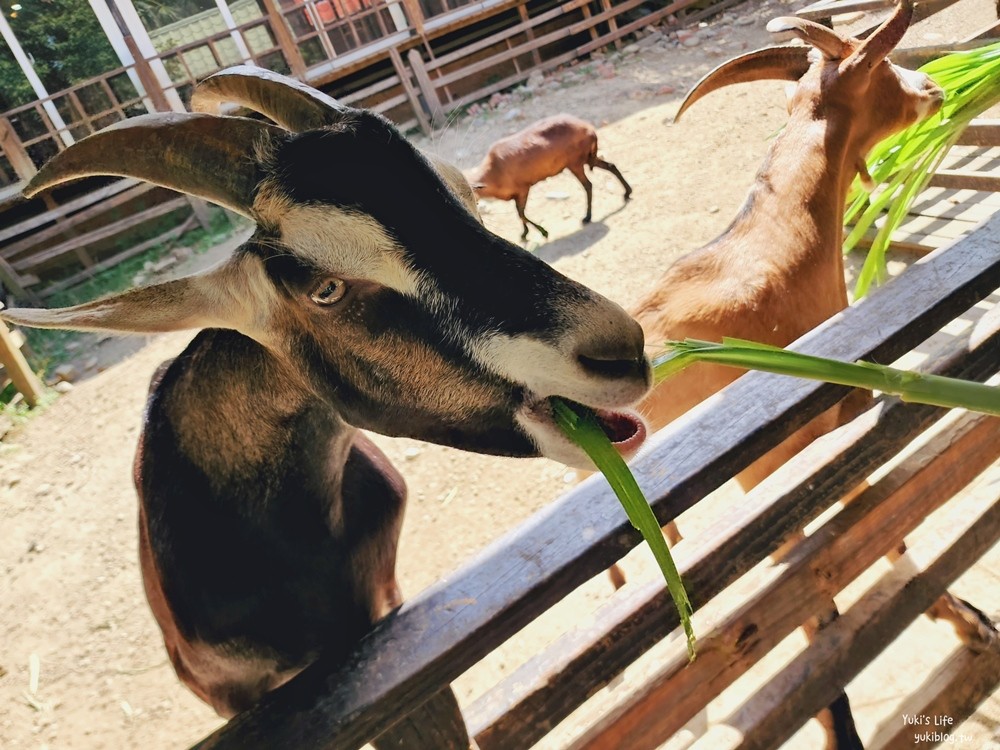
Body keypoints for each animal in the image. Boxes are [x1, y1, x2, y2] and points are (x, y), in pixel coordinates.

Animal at [468, 114, 632, 241]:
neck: (494, 171)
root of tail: (590, 130)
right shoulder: (515, 194)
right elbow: (519, 214)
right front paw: (524, 234)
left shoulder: (523, 188)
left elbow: (521, 213)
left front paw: (543, 232)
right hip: (586, 158)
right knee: (611, 166)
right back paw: (627, 193)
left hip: (575, 163)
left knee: (588, 185)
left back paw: (587, 217)